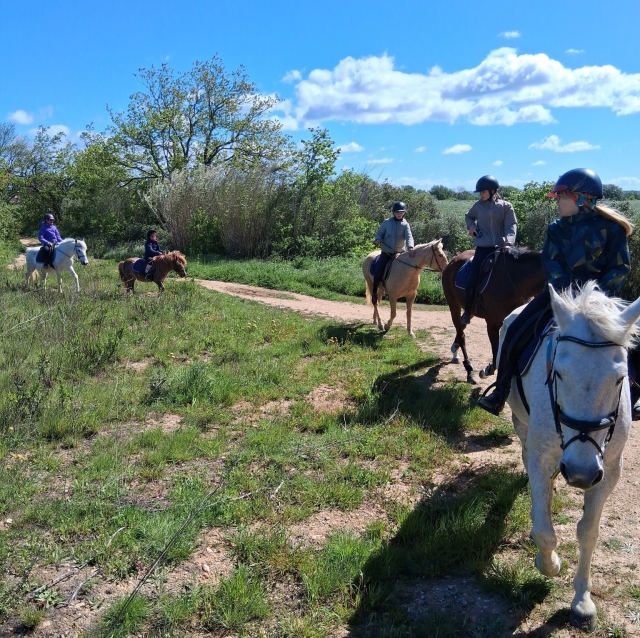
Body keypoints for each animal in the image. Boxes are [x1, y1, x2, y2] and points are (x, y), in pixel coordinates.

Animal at [441, 247, 544, 384]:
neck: (512, 281)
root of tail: (453, 261)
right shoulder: (492, 324)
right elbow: (496, 353)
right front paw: (487, 371)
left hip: (470, 311)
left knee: (461, 327)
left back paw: (455, 349)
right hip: (453, 304)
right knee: (461, 334)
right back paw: (469, 369)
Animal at [503, 281, 640, 631]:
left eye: (620, 378)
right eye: (558, 373)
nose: (580, 473)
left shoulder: (609, 471)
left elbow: (588, 532)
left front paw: (582, 602)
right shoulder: (541, 456)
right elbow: (543, 532)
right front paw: (548, 564)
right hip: (521, 424)